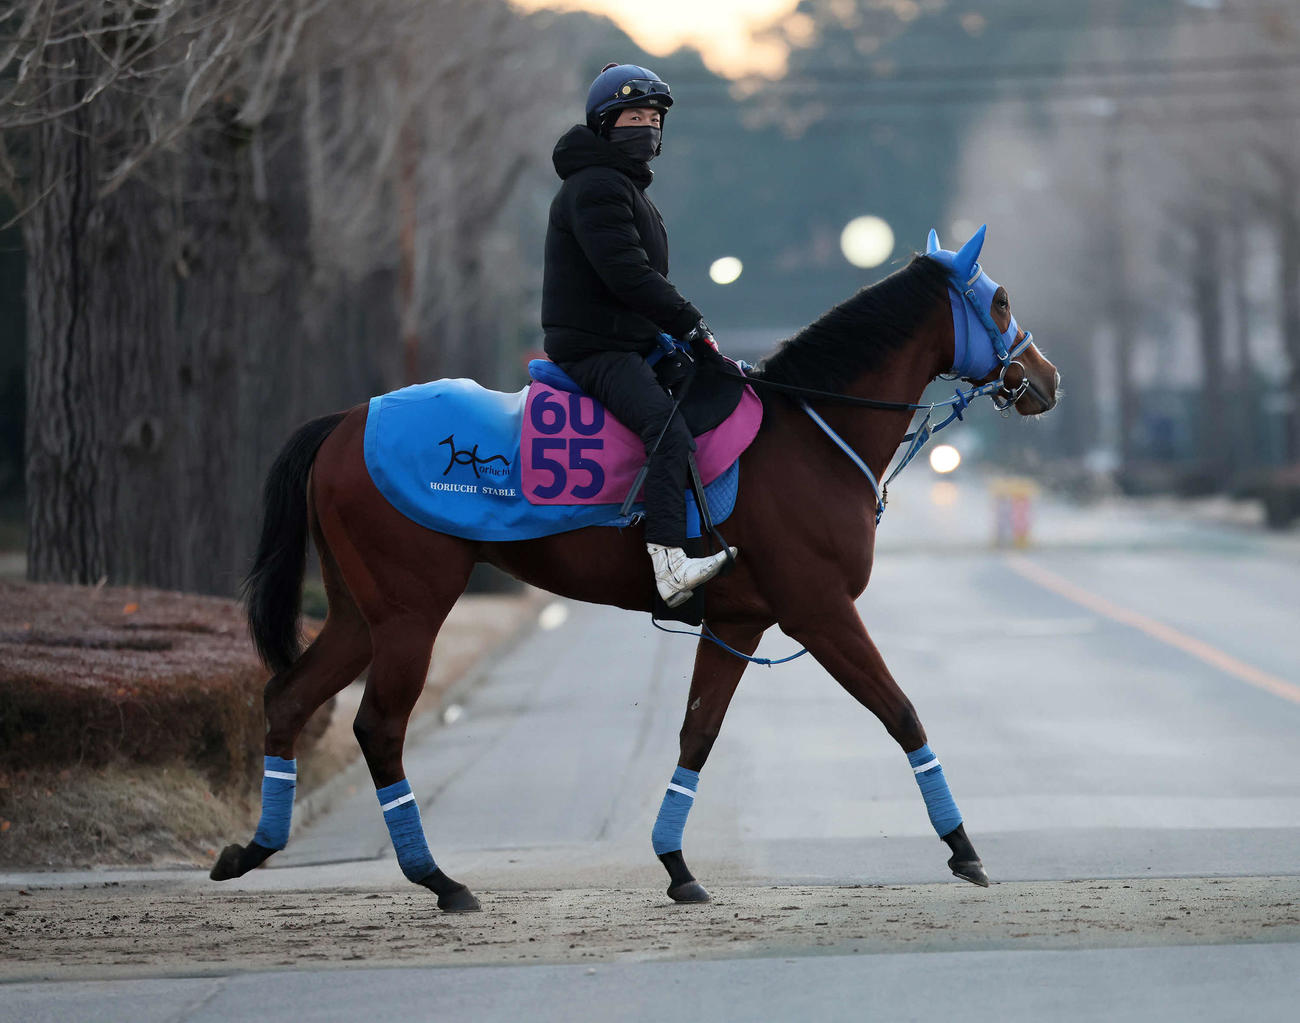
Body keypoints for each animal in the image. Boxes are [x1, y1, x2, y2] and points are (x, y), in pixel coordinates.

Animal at [210, 227, 1060, 911]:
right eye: (1001, 300)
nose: (1047, 379)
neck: (810, 429)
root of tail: (345, 421)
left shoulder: (738, 620)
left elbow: (697, 734)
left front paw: (677, 863)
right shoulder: (819, 609)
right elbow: (901, 711)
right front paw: (964, 847)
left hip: (360, 613)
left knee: (288, 698)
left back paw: (254, 848)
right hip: (410, 614)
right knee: (378, 727)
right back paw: (439, 880)